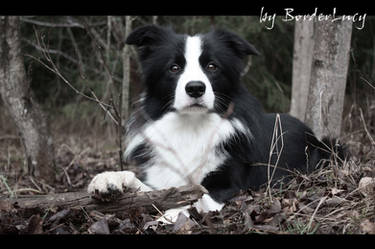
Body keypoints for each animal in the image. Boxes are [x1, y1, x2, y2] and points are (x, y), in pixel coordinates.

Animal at [89, 25, 346, 223]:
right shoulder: (163, 178)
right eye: (174, 68)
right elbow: (149, 188)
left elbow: (196, 197)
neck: (191, 126)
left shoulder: (226, 184)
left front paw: (168, 216)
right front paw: (110, 179)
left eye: (212, 66)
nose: (195, 88)